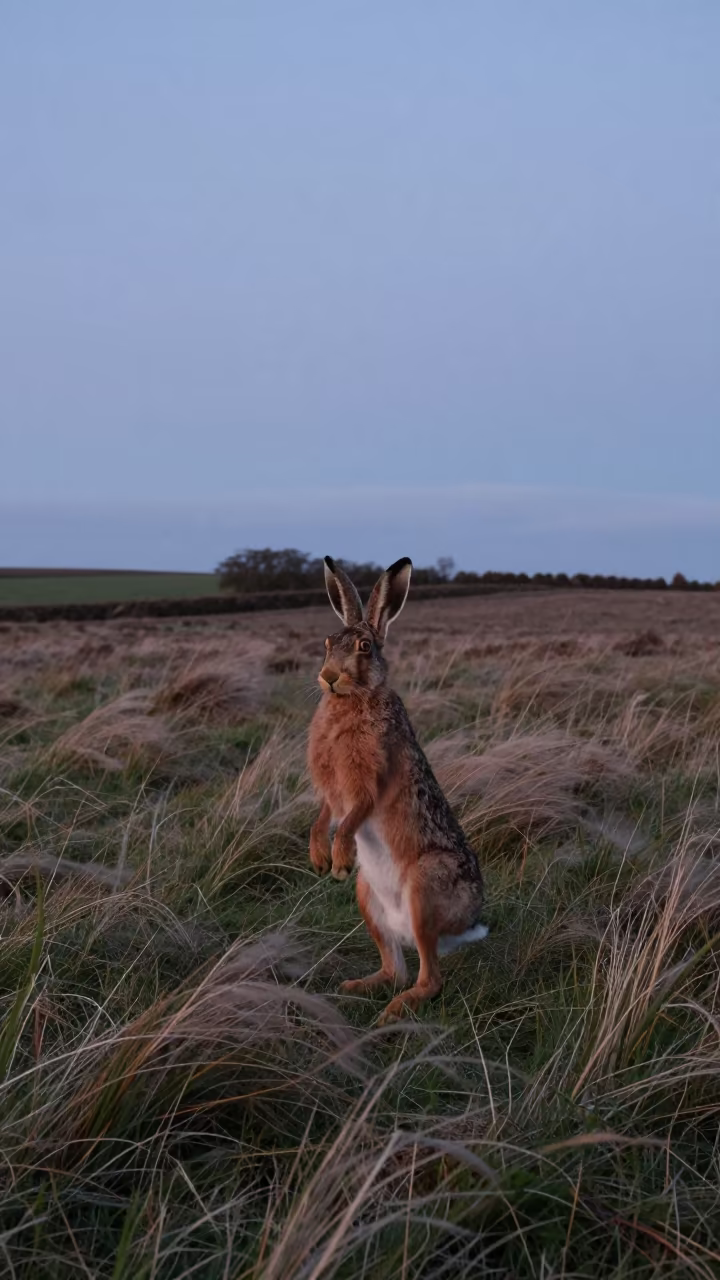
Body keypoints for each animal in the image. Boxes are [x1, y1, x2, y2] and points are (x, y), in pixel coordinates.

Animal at [307, 554, 487, 1024]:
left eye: (364, 648)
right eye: (327, 642)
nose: (328, 678)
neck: (353, 699)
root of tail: (464, 926)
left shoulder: (372, 777)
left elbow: (355, 813)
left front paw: (339, 857)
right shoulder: (332, 793)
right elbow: (324, 815)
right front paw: (319, 857)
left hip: (424, 887)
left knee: (429, 979)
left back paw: (394, 1011)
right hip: (367, 897)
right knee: (396, 968)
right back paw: (355, 987)